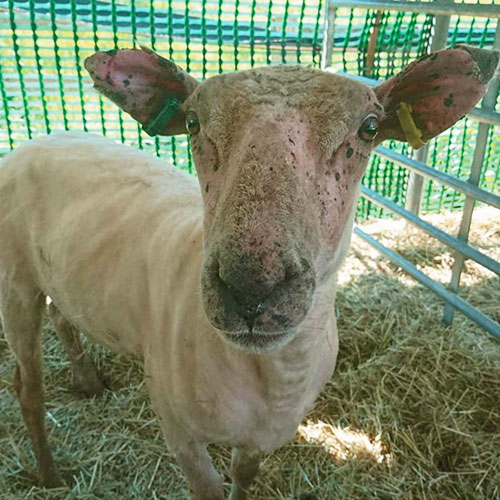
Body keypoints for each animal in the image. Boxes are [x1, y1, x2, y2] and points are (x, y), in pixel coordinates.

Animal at [0, 44, 496, 500]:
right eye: (192, 122)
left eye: (370, 128)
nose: (251, 290)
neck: (275, 376)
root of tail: (41, 138)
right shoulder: (179, 431)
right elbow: (210, 488)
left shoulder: (262, 438)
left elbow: (244, 477)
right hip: (15, 283)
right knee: (27, 385)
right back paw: (49, 473)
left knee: (63, 315)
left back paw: (86, 382)